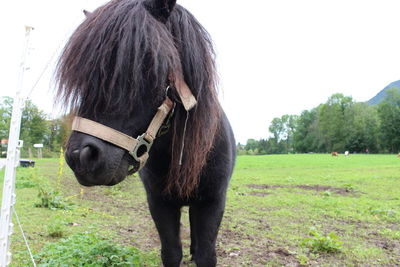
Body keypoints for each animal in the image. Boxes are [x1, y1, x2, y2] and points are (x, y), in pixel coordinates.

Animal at [57, 0, 236, 266]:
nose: (81, 156)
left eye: (147, 62)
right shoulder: (159, 203)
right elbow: (171, 253)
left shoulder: (212, 202)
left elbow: (206, 254)